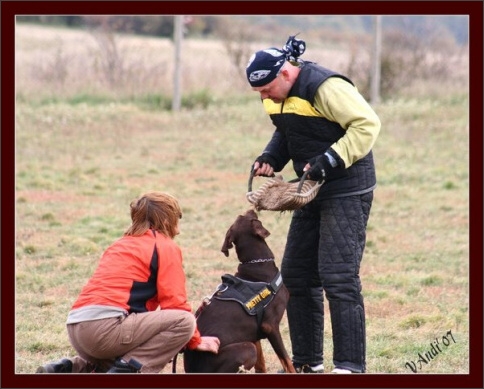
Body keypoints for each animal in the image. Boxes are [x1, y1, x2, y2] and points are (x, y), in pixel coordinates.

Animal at [183, 209, 294, 372]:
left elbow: (261, 366)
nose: (251, 209)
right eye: (247, 216)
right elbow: (287, 362)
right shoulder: (270, 326)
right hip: (247, 348)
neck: (256, 264)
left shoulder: (254, 334)